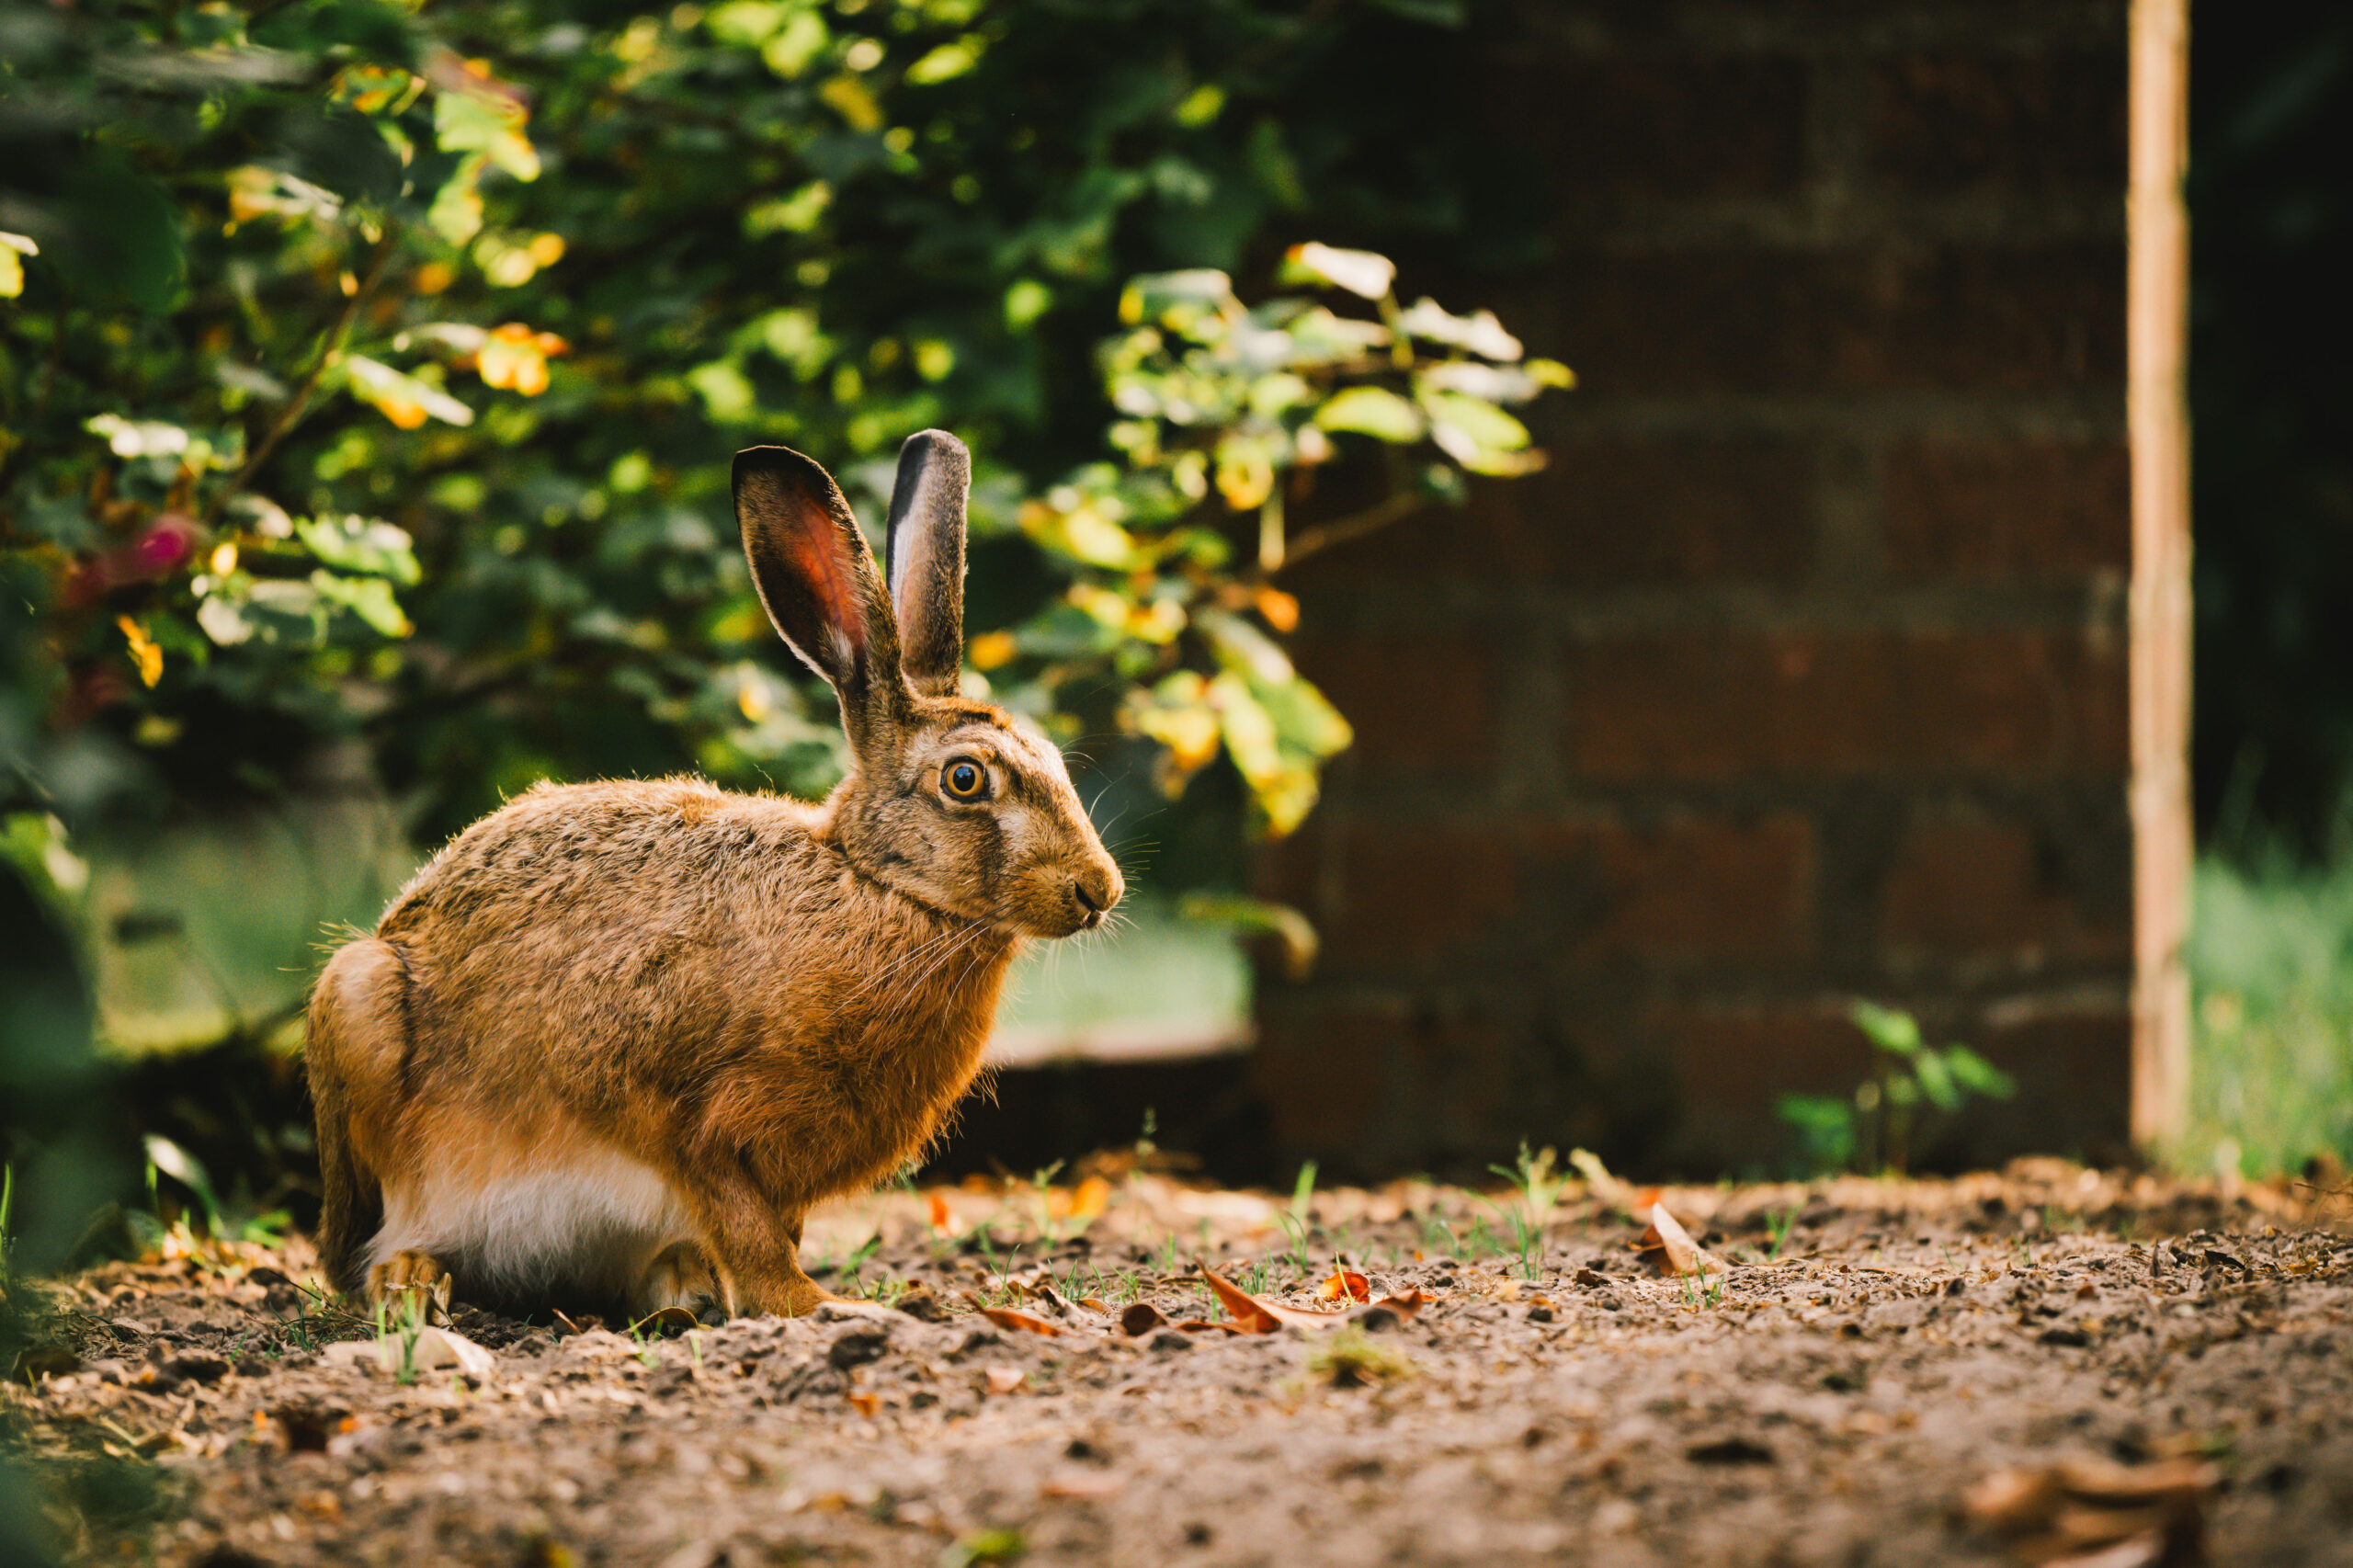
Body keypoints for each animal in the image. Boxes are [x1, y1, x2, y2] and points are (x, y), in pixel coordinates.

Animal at [304, 431, 1123, 1321]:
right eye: (966, 780)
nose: (1098, 890)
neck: (877, 888)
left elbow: (768, 1226)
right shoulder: (687, 1119)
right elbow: (743, 1224)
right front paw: (812, 1304)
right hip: (357, 1010)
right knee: (373, 1242)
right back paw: (412, 1280)